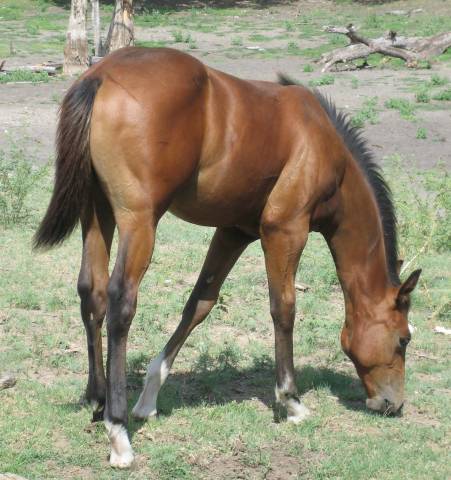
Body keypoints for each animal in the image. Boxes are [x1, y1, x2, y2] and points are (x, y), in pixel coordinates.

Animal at [34, 47, 420, 466]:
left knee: (93, 292)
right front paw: (292, 401)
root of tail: (100, 75)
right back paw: (118, 431)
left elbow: (199, 304)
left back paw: (99, 401)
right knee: (121, 301)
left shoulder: (234, 232)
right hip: (139, 220)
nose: (392, 404)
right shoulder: (285, 230)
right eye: (403, 340)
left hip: (97, 213)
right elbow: (284, 308)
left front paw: (149, 397)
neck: (323, 146)